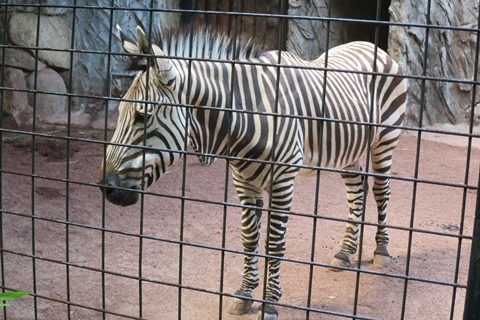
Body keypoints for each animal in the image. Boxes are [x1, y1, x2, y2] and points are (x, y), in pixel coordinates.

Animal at [99, 25, 406, 320]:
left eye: (142, 116)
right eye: (121, 111)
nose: (105, 187)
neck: (244, 119)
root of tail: (371, 45)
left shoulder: (283, 179)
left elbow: (275, 243)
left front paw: (269, 302)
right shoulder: (243, 180)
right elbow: (249, 238)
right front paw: (245, 293)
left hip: (385, 139)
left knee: (381, 191)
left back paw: (381, 250)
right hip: (349, 151)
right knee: (357, 190)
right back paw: (345, 253)